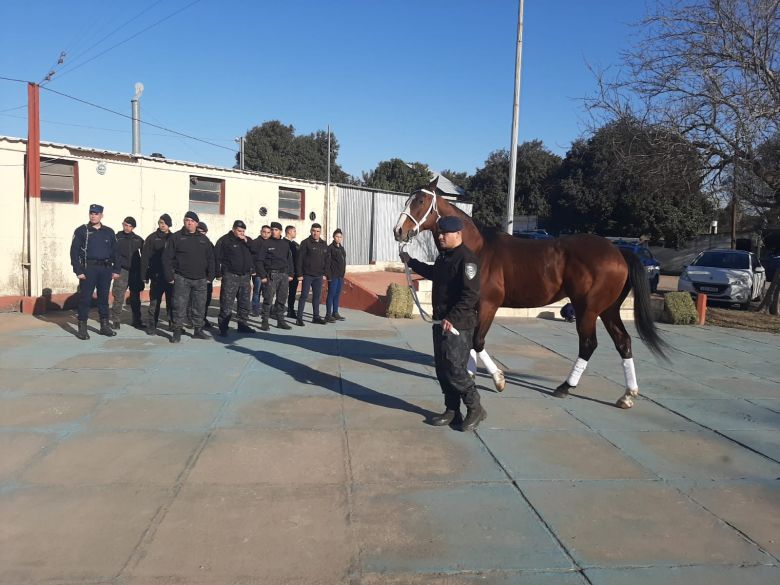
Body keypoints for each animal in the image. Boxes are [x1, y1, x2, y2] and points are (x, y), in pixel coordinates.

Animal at [394, 180, 668, 408]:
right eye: (408, 200)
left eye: (420, 202)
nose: (398, 231)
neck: (478, 250)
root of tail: (618, 251)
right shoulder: (472, 306)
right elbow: (468, 341)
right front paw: (468, 374)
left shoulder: (488, 305)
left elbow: (477, 342)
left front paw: (498, 380)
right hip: (608, 309)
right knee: (623, 342)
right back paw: (628, 395)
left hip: (587, 309)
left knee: (589, 343)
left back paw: (565, 387)